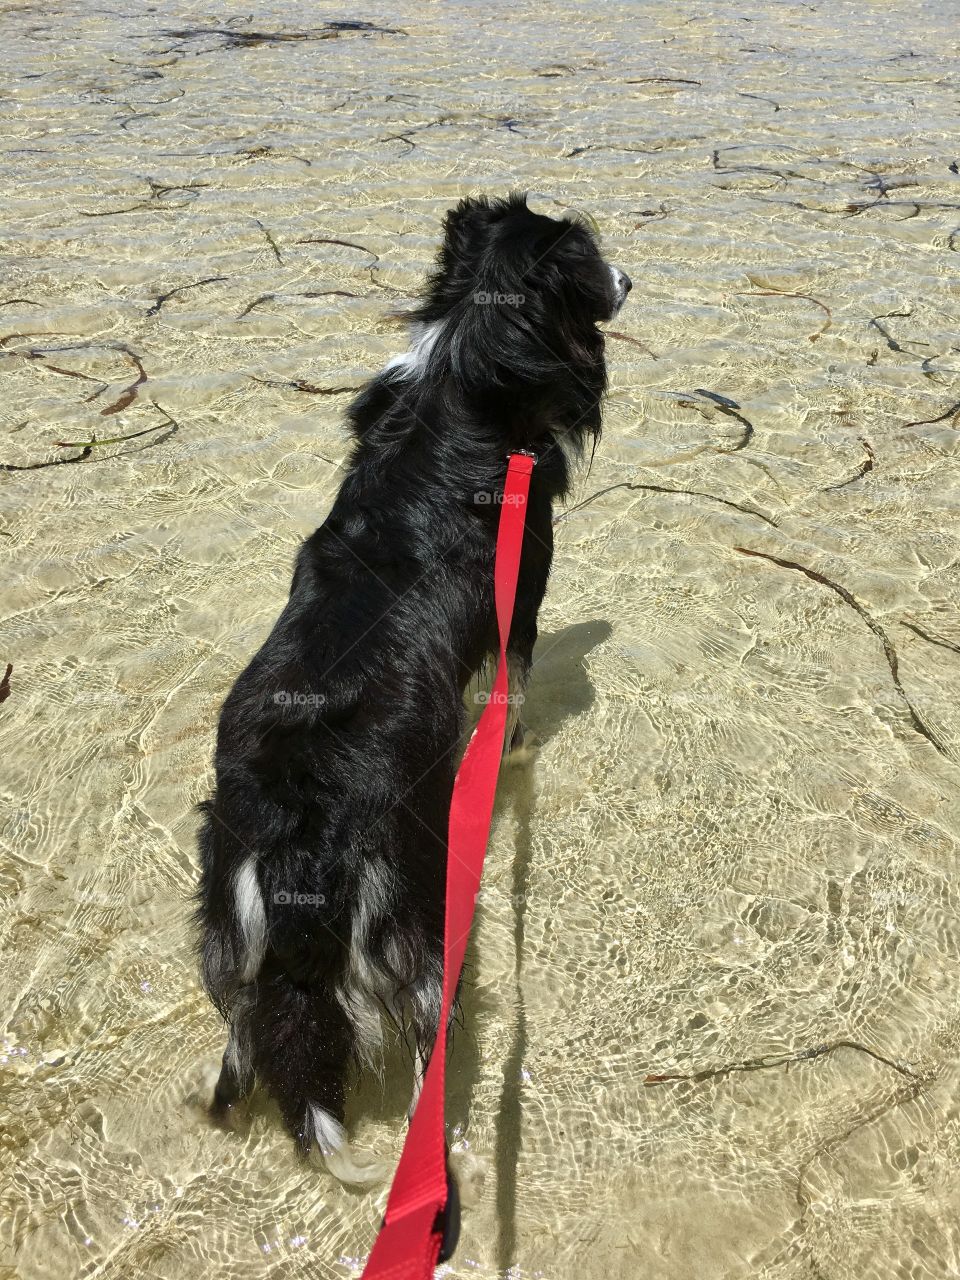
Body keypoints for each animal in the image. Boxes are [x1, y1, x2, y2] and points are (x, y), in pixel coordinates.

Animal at [195, 189, 632, 1177]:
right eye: (591, 257)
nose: (632, 278)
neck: (465, 373)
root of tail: (297, 837)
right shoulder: (523, 593)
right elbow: (513, 690)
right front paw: (507, 752)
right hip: (413, 922)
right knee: (434, 1036)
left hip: (230, 932)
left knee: (249, 1040)